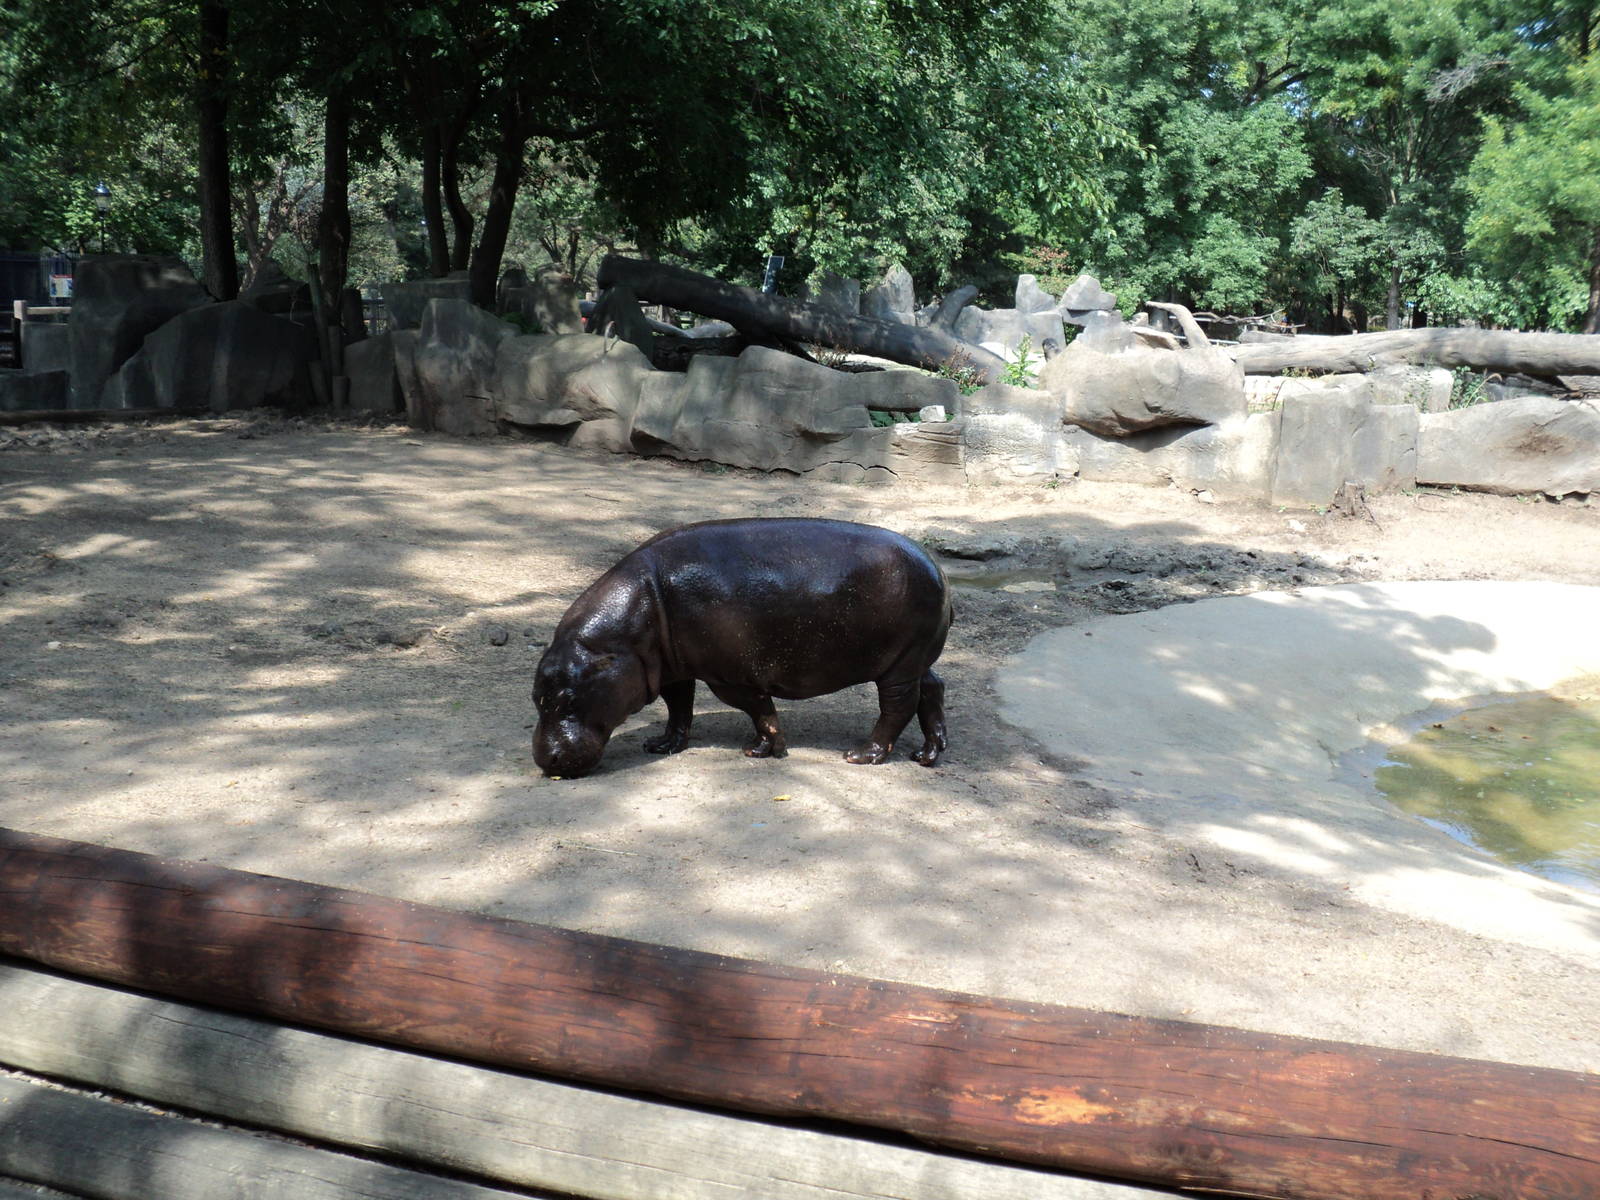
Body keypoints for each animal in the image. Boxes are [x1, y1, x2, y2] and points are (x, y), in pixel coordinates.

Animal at [532, 518, 951, 778]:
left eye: (570, 698)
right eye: (536, 698)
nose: (544, 759)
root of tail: (939, 570)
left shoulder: (729, 677)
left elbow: (758, 709)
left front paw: (763, 750)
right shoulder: (672, 670)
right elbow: (678, 706)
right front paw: (663, 745)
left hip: (898, 666)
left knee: (898, 706)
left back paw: (862, 756)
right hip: (914, 659)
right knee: (933, 688)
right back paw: (928, 755)